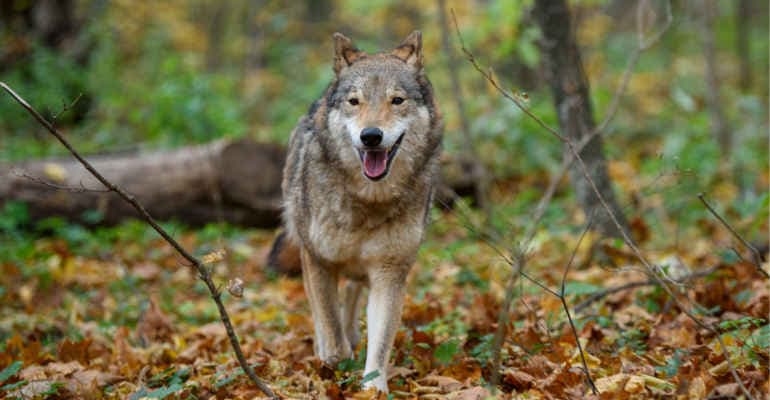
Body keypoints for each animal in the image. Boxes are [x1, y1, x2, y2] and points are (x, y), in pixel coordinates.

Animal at [271, 30, 442, 392]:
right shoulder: (317, 260)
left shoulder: (390, 272)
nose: (371, 136)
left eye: (397, 100)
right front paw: (332, 360)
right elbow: (329, 328)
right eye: (354, 102)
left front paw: (373, 389)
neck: (368, 201)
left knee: (352, 290)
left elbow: (380, 343)